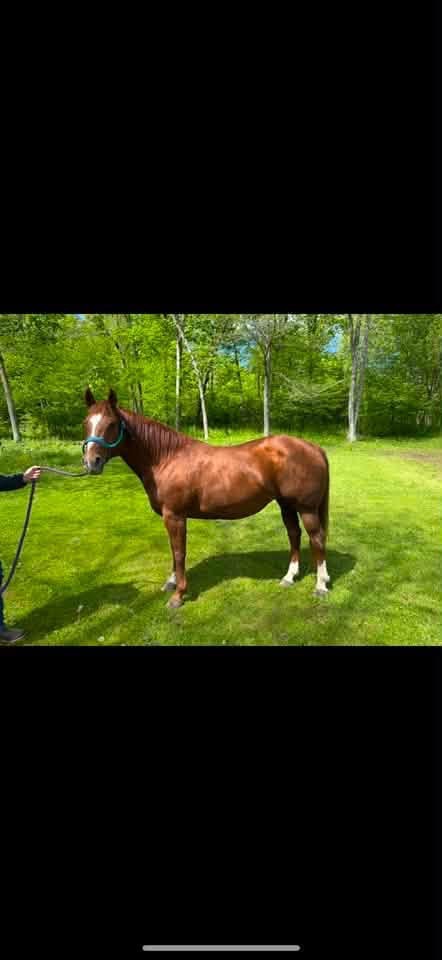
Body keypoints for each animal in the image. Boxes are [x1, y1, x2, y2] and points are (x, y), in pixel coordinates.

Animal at [82, 388, 330, 608]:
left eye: (111, 424)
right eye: (86, 423)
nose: (91, 462)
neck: (166, 458)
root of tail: (314, 448)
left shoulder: (175, 516)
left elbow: (179, 552)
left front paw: (178, 595)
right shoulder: (169, 518)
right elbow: (173, 550)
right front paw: (171, 583)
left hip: (306, 508)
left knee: (316, 539)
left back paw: (320, 586)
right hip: (286, 505)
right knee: (294, 534)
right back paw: (289, 577)